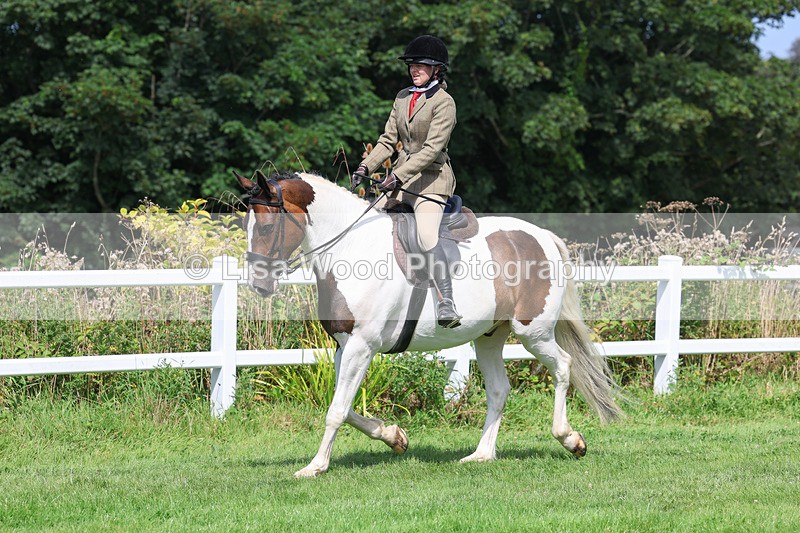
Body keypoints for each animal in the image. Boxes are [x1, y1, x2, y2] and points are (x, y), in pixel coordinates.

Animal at [234, 170, 622, 478]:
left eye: (266, 226)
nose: (258, 284)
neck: (351, 247)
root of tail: (542, 236)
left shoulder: (361, 346)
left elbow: (337, 410)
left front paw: (315, 466)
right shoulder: (346, 346)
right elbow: (345, 407)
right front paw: (394, 436)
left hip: (534, 333)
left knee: (564, 366)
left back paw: (570, 439)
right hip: (489, 337)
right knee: (499, 389)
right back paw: (482, 455)